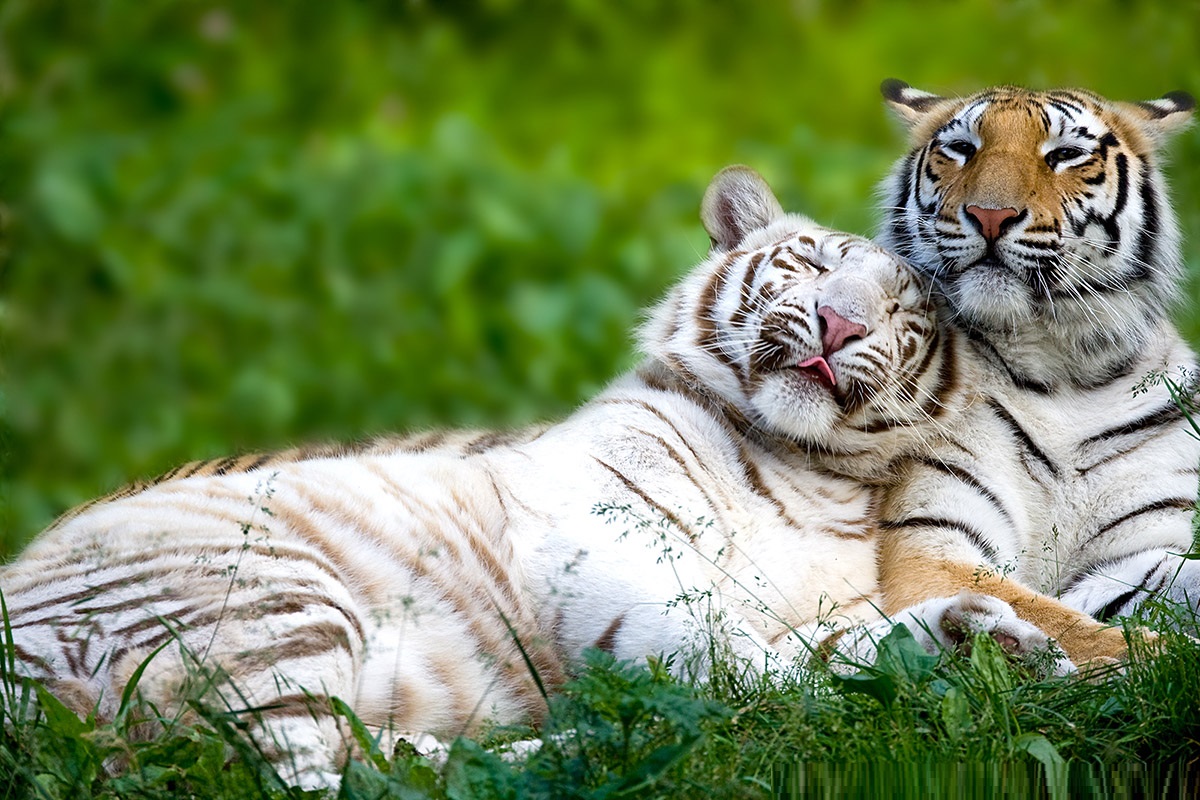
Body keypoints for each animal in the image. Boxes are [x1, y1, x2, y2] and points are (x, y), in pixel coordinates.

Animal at [0, 165, 1069, 788]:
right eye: (806, 267)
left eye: (906, 318)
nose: (841, 325)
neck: (804, 471)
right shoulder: (609, 563)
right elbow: (737, 658)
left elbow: (838, 644)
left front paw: (988, 643)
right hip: (270, 593)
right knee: (300, 779)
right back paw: (594, 752)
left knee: (368, 764)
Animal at [873, 80, 1200, 663]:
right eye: (963, 149)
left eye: (1065, 154)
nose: (989, 215)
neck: (1066, 370)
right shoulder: (928, 544)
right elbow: (1072, 625)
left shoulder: (1130, 555)